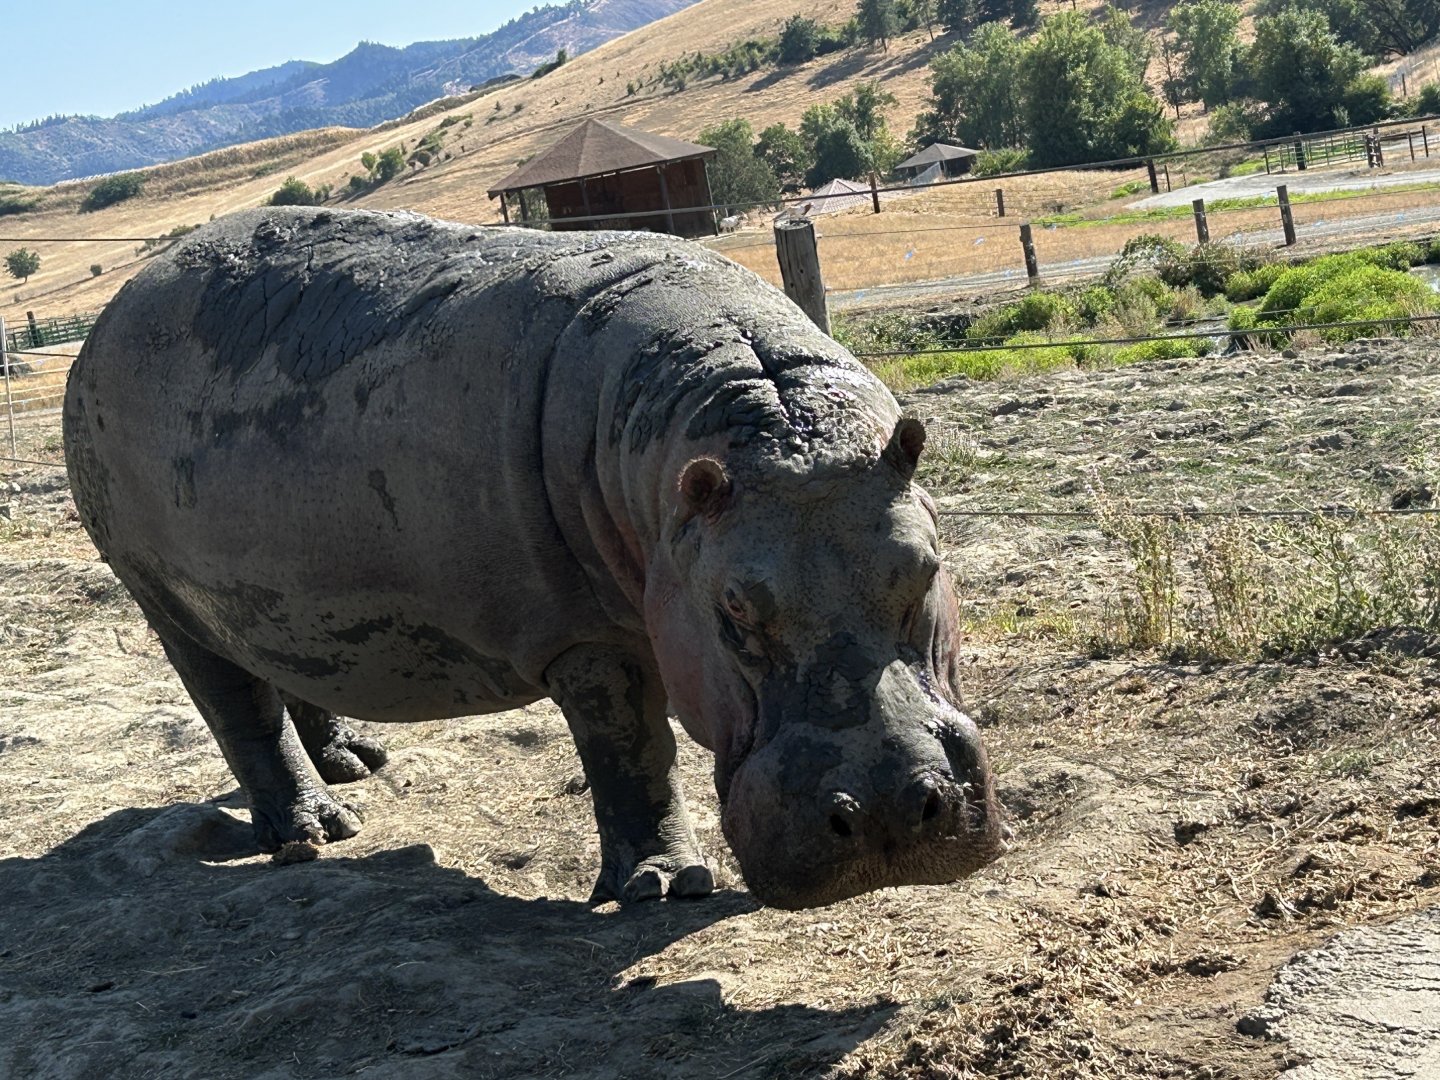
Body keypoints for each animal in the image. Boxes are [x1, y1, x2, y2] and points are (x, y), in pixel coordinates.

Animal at [63, 208, 1003, 909]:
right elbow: (630, 751)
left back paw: (360, 766)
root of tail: (105, 321)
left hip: (276, 585)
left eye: (925, 569)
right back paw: (314, 835)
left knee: (287, 661)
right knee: (236, 705)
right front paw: (666, 888)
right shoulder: (585, 637)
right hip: (160, 597)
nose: (886, 814)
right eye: (734, 609)